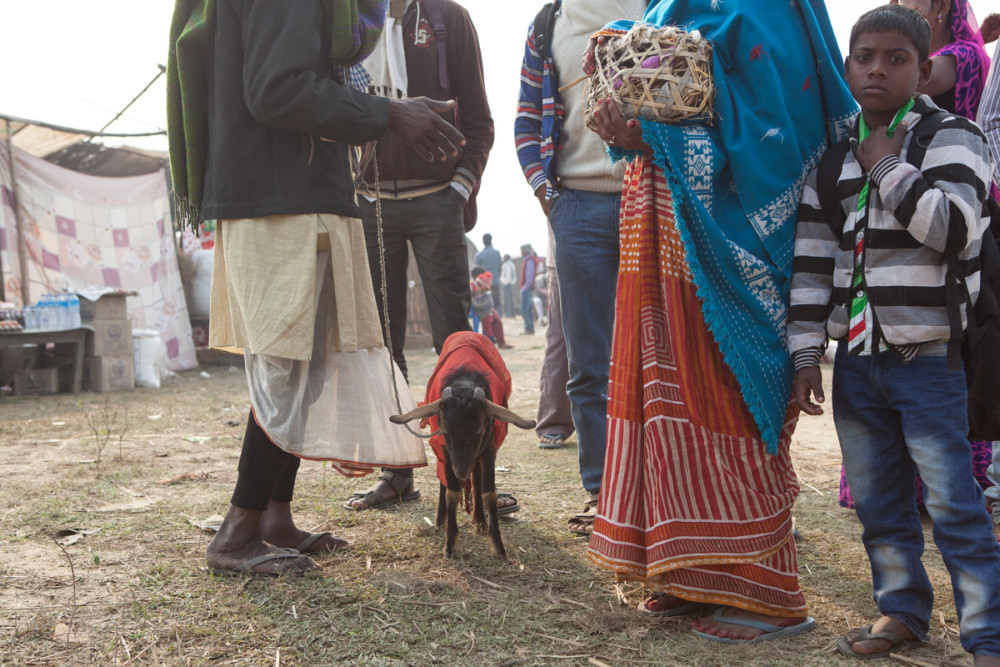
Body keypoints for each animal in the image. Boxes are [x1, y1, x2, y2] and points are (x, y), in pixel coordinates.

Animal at [386, 334, 536, 560]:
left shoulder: (489, 449)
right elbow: (452, 493)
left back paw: (480, 520)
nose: (460, 472)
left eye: (479, 430)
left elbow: (488, 493)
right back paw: (441, 519)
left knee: (475, 480)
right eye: (445, 430)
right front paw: (450, 544)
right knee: (445, 483)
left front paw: (497, 545)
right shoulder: (445, 451)